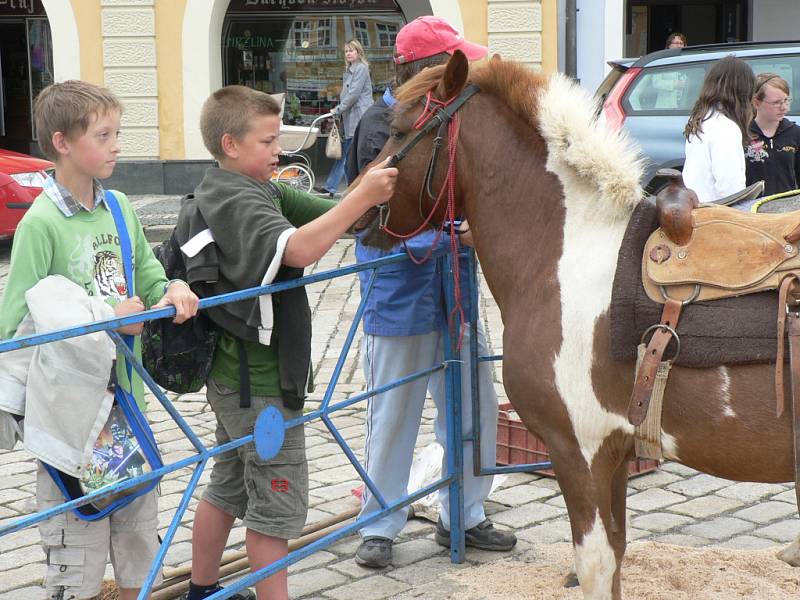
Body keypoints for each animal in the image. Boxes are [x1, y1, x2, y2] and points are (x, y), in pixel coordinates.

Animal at [360, 51, 800, 600]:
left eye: (399, 130)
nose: (358, 209)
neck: (566, 252)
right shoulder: (614, 453)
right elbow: (618, 555)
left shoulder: (579, 452)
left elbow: (595, 565)